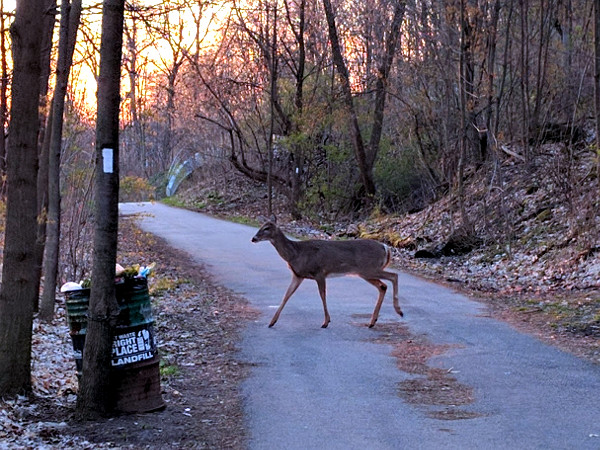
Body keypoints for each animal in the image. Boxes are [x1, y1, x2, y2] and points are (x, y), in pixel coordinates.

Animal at [251, 220, 400, 328]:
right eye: (261, 226)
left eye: (266, 228)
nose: (253, 238)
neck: (296, 253)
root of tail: (385, 248)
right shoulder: (298, 275)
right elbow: (286, 295)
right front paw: (272, 322)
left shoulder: (319, 272)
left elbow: (322, 295)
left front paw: (326, 322)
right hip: (366, 272)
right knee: (383, 286)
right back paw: (372, 321)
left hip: (368, 269)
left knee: (394, 276)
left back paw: (398, 310)